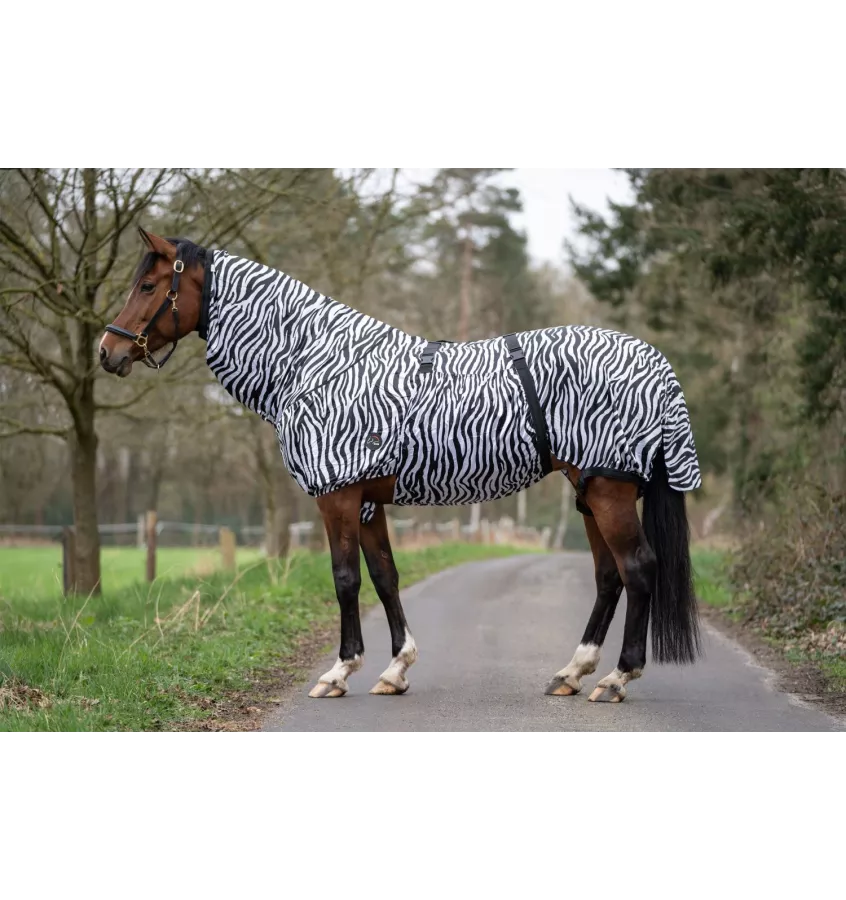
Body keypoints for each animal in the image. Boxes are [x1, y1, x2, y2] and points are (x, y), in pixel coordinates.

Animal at [101, 229, 702, 705]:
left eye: (149, 286)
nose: (109, 351)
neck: (318, 362)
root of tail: (655, 362)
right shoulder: (367, 500)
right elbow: (385, 576)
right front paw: (396, 669)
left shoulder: (337, 496)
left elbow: (345, 578)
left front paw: (340, 671)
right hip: (590, 491)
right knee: (608, 576)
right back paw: (572, 672)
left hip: (609, 492)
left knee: (638, 569)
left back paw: (618, 678)